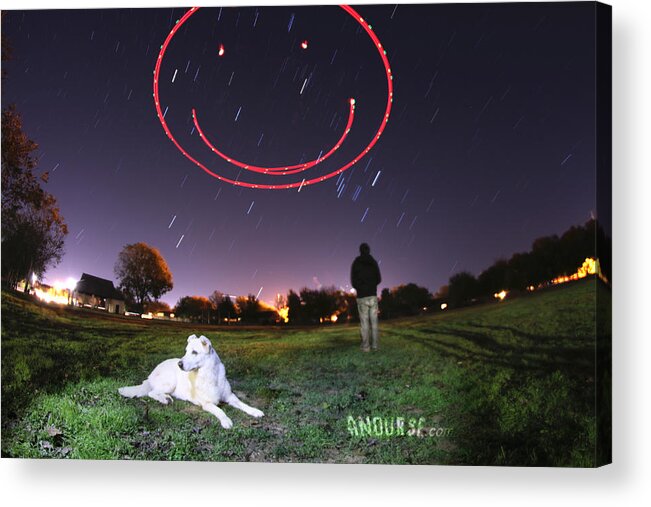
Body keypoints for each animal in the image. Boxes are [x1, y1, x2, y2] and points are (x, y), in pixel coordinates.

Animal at [117, 336, 262, 430]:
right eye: (186, 351)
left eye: (194, 352)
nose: (179, 364)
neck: (210, 374)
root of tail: (151, 374)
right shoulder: (207, 404)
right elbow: (220, 410)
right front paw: (226, 420)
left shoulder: (231, 397)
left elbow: (243, 404)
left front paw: (255, 411)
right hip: (170, 381)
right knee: (152, 392)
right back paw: (165, 399)